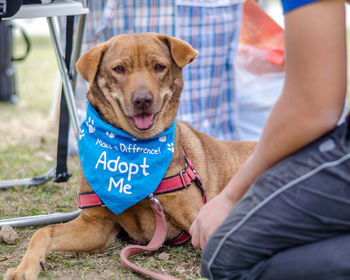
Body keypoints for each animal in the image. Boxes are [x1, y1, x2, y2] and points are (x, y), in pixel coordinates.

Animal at [4, 33, 256, 280]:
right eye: (119, 69)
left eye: (159, 66)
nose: (142, 100)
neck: (134, 150)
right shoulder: (96, 224)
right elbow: (43, 231)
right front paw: (24, 268)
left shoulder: (198, 217)